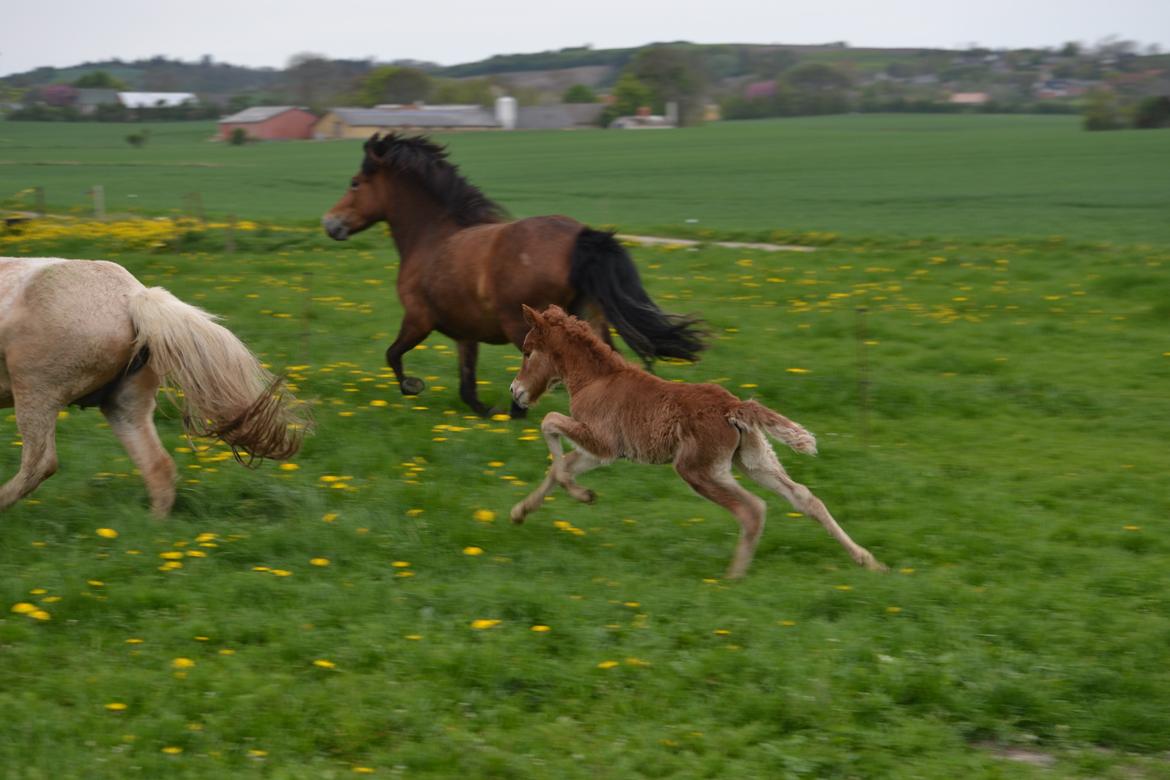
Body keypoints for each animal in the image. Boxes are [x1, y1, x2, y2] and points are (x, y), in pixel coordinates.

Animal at [322, 134, 702, 418]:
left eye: (355, 183)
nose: (330, 223)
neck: (431, 237)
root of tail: (579, 239)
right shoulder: (466, 335)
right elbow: (466, 386)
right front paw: (487, 413)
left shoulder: (418, 318)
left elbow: (393, 354)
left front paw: (413, 386)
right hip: (591, 319)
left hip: (527, 327)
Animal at [507, 304, 879, 580]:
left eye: (527, 352)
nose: (515, 391)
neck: (596, 379)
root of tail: (734, 407)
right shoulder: (602, 453)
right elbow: (559, 468)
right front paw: (523, 512)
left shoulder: (601, 441)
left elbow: (549, 424)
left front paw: (581, 494)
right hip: (754, 459)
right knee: (804, 497)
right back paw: (868, 560)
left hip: (697, 468)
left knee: (753, 509)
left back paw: (732, 578)